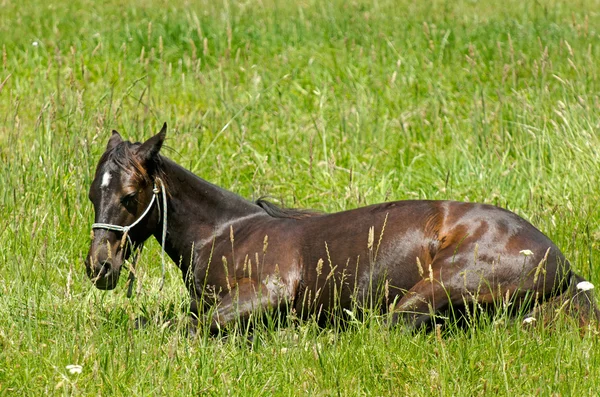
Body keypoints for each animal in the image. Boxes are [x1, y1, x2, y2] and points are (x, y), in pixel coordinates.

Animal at [85, 123, 600, 332]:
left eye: (129, 197)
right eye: (92, 194)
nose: (99, 267)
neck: (226, 232)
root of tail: (560, 262)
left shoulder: (270, 291)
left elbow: (190, 329)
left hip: (436, 288)